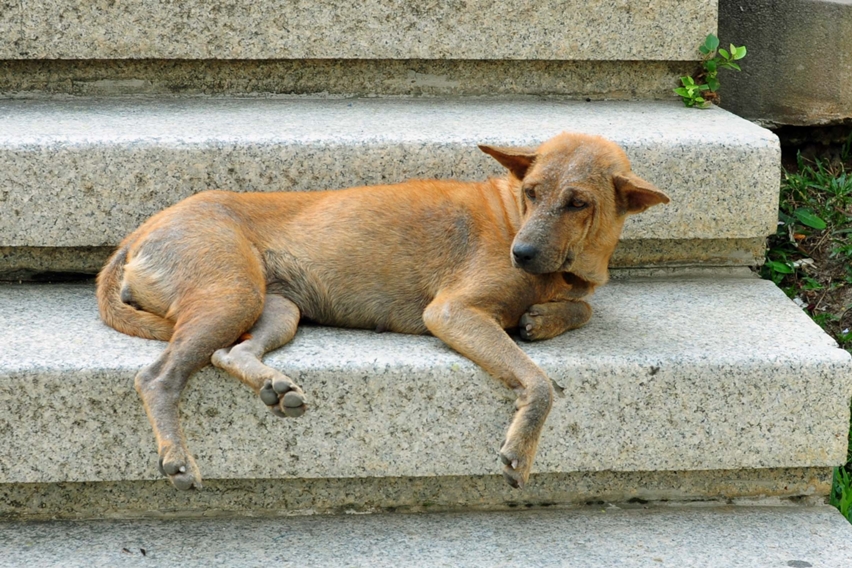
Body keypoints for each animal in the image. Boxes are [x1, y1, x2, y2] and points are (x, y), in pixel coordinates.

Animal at [96, 132, 668, 488]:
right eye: (531, 192)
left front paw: (546, 318)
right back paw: (177, 457)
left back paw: (274, 386)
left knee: (228, 354)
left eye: (579, 203)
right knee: (158, 376)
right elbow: (541, 382)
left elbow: (582, 310)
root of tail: (138, 233)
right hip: (232, 294)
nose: (521, 254)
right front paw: (521, 448)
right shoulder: (453, 313)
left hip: (276, 309)